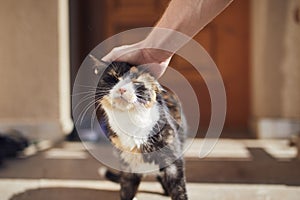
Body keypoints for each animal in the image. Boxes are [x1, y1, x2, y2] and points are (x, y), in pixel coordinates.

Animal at [95, 61, 188, 199]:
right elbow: (126, 190)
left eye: (136, 81)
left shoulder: (173, 163)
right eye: (114, 78)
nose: (122, 89)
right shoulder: (127, 166)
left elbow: (179, 190)